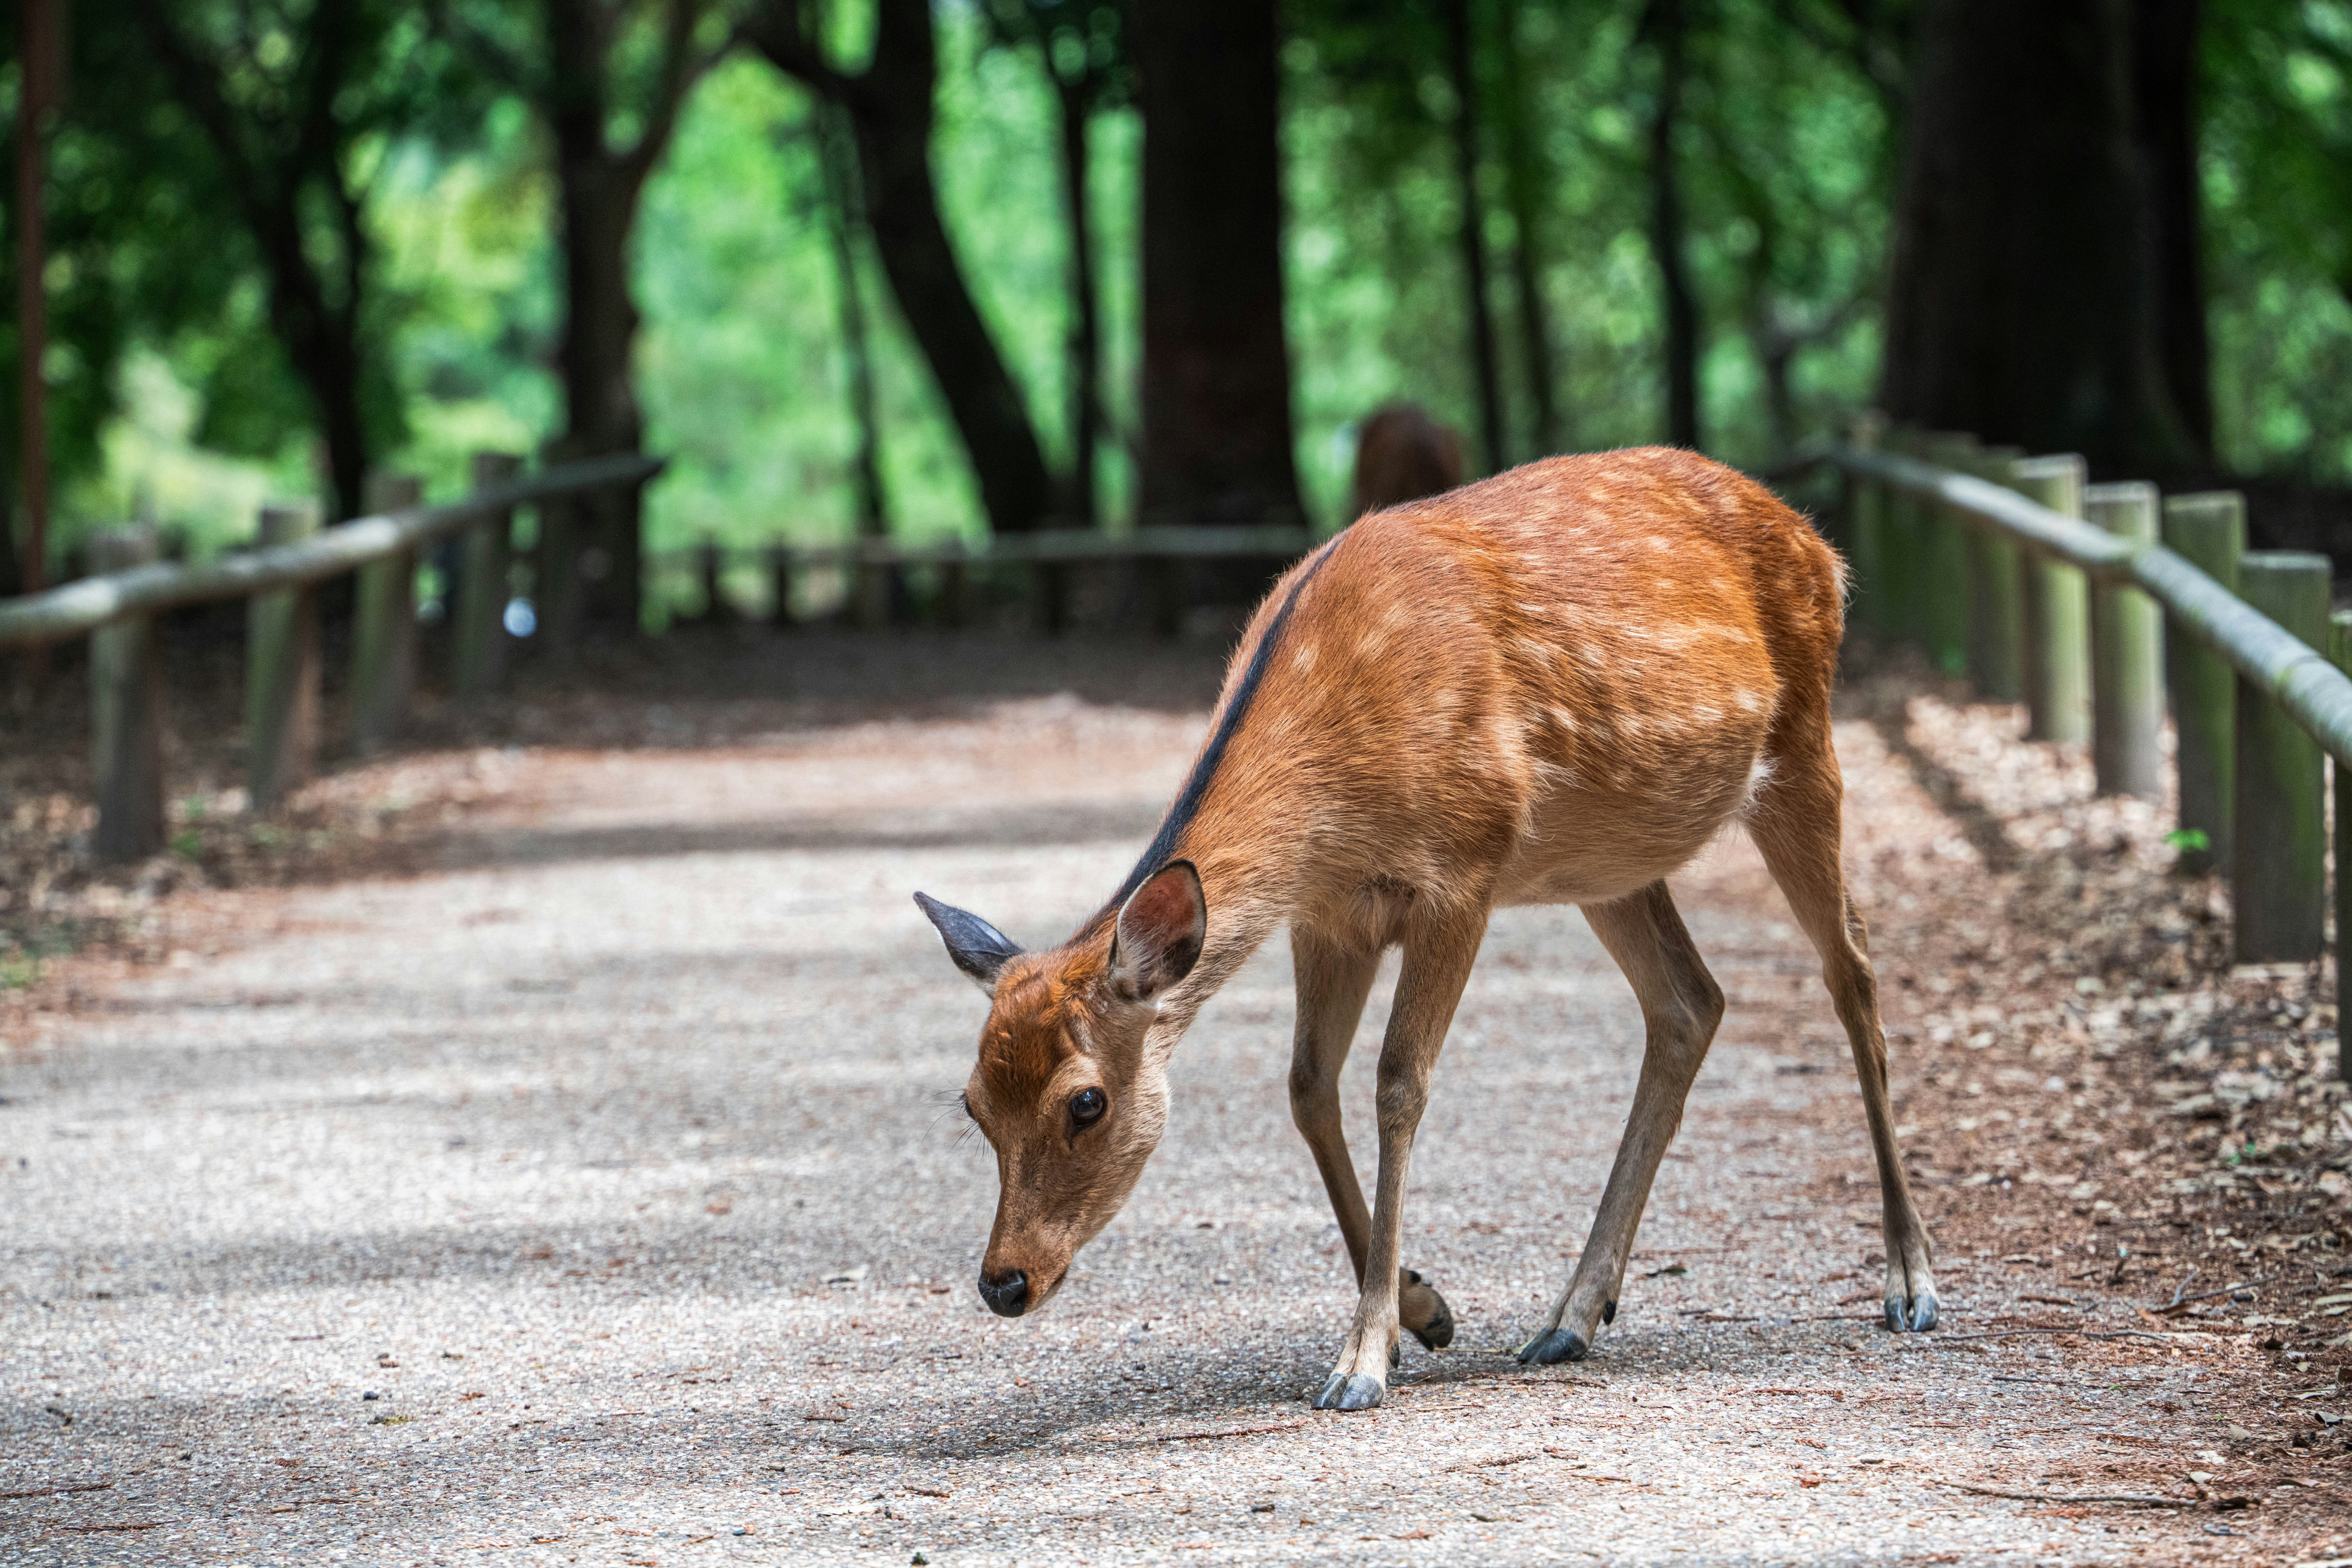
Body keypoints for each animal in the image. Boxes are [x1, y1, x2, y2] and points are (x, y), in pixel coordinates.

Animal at [915, 445, 1937, 1412]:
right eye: (972, 1102)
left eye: (1085, 1102)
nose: (1003, 1282)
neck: (1332, 798)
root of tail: (1821, 546)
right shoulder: (1330, 916)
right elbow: (1307, 1088)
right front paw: (1425, 1310)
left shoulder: (1463, 873)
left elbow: (1399, 1082)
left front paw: (1362, 1362)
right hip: (1604, 862)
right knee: (1692, 1002)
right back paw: (1571, 1316)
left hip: (1804, 743)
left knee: (1853, 969)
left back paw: (1911, 1281)